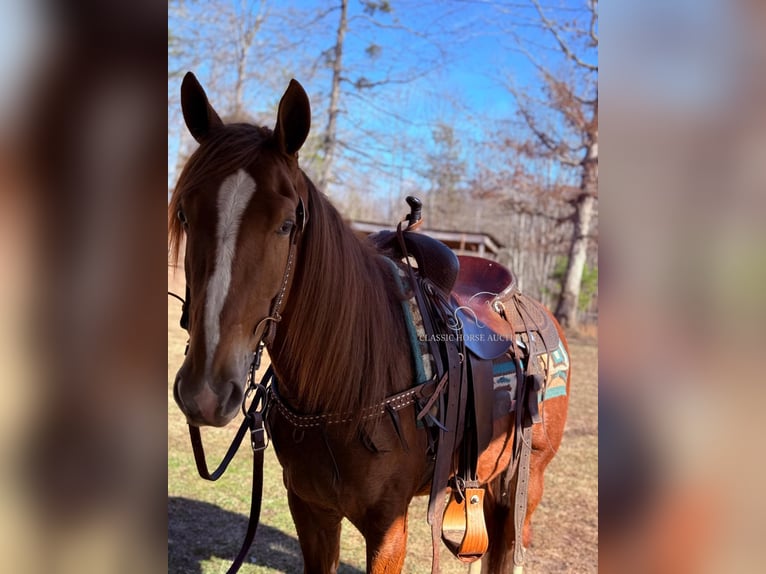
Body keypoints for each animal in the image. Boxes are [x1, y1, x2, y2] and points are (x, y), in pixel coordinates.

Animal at [172, 73, 568, 574]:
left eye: (285, 225)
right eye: (185, 214)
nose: (204, 393)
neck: (339, 389)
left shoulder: (388, 528)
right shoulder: (311, 510)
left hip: (527, 482)